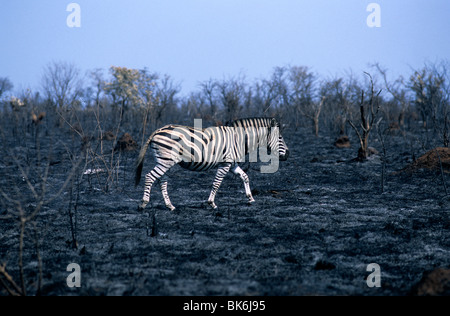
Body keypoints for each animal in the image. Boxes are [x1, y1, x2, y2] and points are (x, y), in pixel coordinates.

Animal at [134, 117, 288, 211]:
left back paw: (170, 206)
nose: (288, 154)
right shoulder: (225, 164)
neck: (238, 139)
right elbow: (217, 183)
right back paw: (143, 203)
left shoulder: (232, 164)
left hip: (164, 160)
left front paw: (250, 198)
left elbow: (245, 177)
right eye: (280, 138)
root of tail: (158, 130)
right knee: (150, 176)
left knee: (162, 181)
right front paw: (212, 203)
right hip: (166, 160)